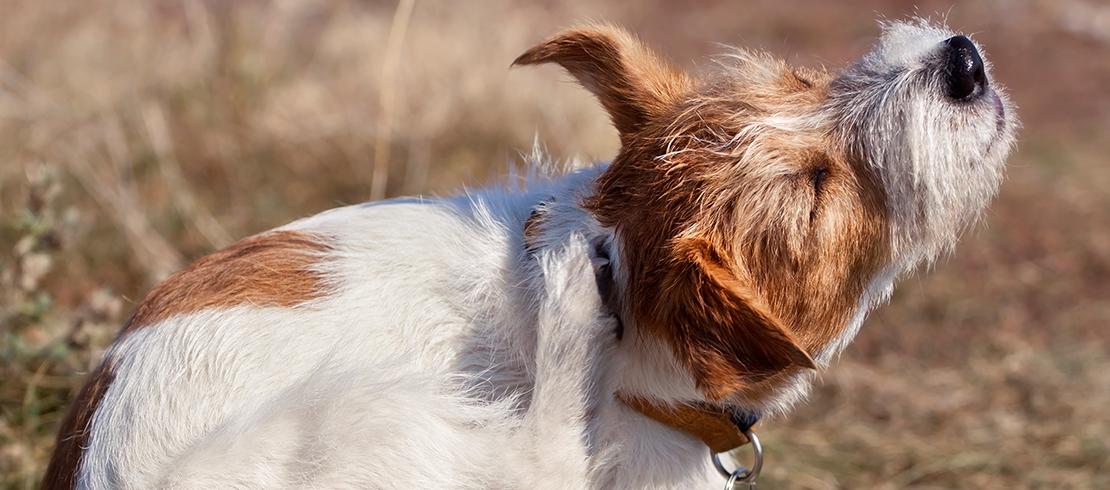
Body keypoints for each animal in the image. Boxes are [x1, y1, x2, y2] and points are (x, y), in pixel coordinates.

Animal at [43, 17, 1016, 486]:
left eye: (803, 81)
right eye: (816, 185)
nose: (962, 60)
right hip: (365, 423)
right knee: (541, 459)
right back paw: (566, 306)